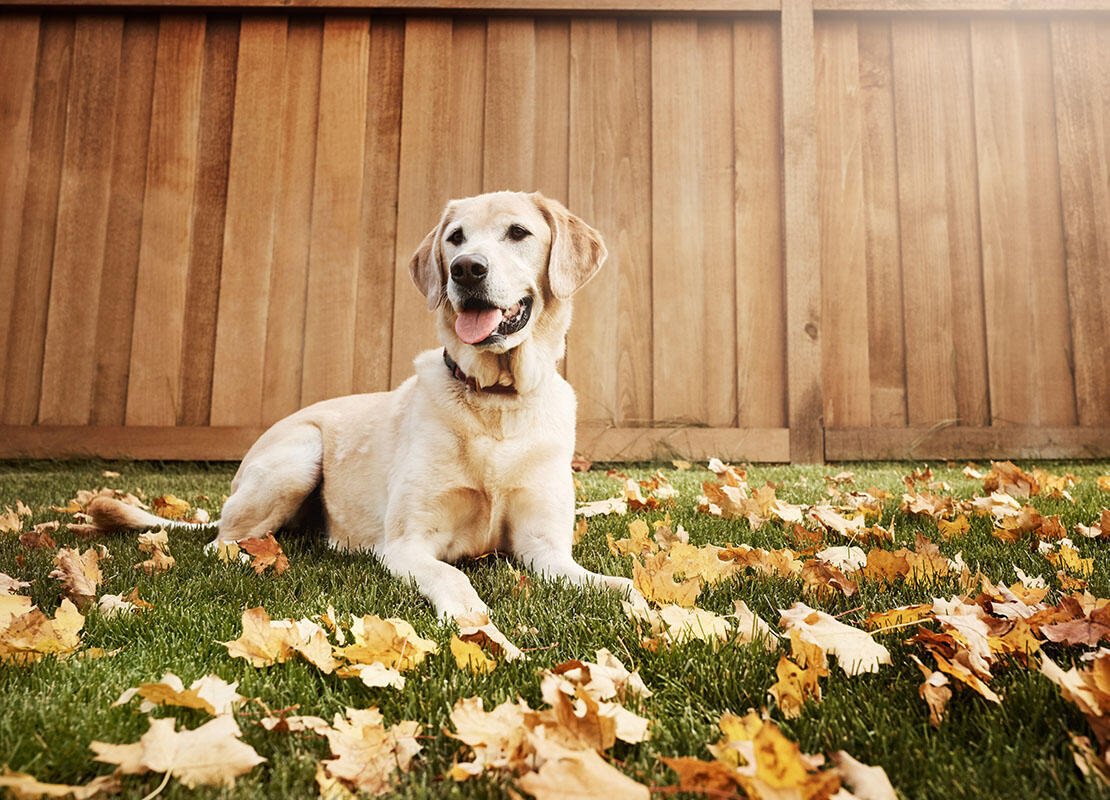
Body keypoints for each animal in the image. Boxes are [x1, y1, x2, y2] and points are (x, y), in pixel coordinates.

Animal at [92, 190, 648, 652]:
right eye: (455, 237)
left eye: (518, 232)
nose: (466, 270)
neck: (497, 404)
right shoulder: (408, 545)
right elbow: (456, 579)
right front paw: (484, 633)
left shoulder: (546, 550)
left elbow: (622, 584)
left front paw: (659, 618)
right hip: (299, 456)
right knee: (220, 543)